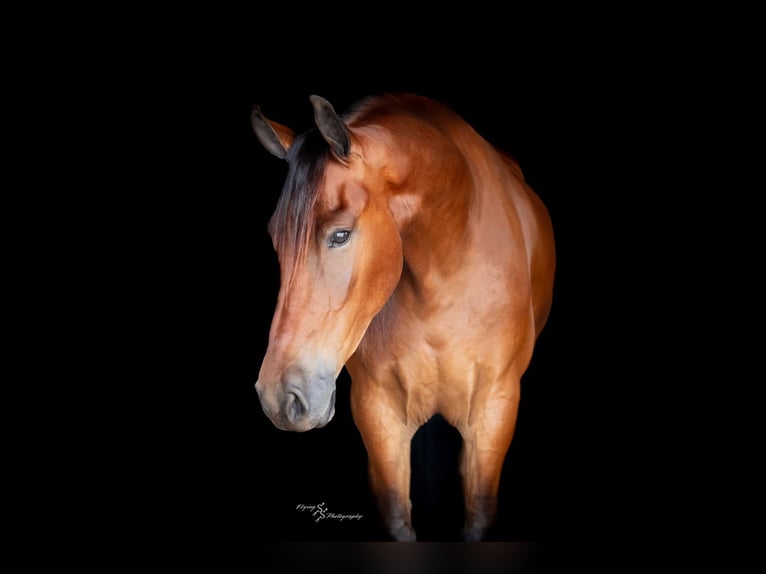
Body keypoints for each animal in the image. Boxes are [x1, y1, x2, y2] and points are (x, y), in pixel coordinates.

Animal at [251, 93, 555, 541]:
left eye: (340, 234)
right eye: (276, 237)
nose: (279, 397)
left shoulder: (495, 410)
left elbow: (478, 514)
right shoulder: (378, 412)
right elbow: (397, 516)